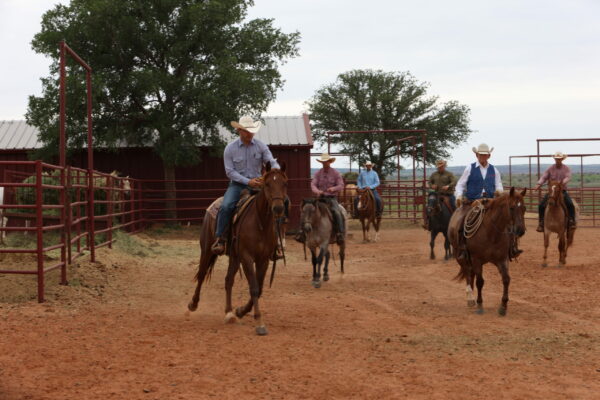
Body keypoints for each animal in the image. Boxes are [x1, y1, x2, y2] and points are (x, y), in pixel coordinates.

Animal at [189, 161, 290, 336]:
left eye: (284, 183)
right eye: (267, 184)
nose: (278, 209)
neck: (260, 222)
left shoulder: (263, 259)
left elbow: (259, 288)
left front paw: (240, 311)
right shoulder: (247, 257)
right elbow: (254, 288)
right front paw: (259, 323)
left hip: (235, 257)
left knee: (228, 280)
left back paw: (229, 313)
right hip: (207, 250)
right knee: (201, 275)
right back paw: (193, 304)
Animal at [448, 189, 528, 318]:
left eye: (524, 208)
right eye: (511, 208)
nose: (520, 230)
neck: (492, 233)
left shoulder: (502, 260)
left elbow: (506, 279)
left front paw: (503, 306)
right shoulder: (477, 260)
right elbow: (480, 282)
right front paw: (480, 305)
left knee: (471, 274)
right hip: (460, 256)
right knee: (467, 273)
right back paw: (470, 298)